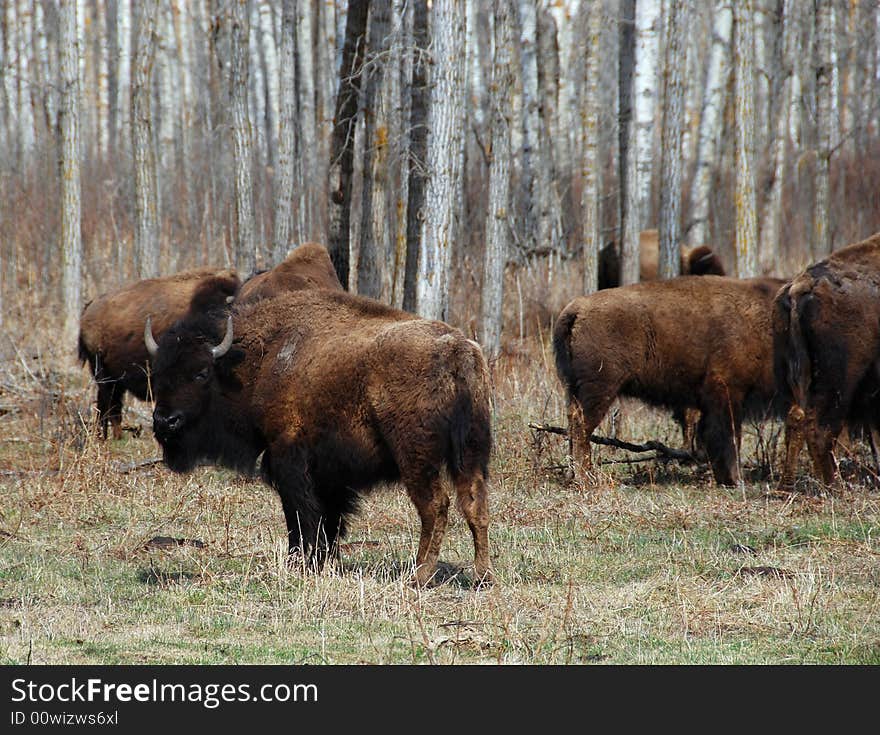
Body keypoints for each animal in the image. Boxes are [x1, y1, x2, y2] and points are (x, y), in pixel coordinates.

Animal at [143, 288, 496, 588]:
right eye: (157, 374)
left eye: (201, 373)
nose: (165, 421)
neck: (261, 357)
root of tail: (457, 351)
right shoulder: (330, 474)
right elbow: (329, 518)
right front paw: (324, 562)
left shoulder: (289, 459)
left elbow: (301, 515)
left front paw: (301, 563)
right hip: (471, 452)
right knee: (474, 504)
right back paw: (482, 576)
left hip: (416, 457)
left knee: (435, 506)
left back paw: (419, 575)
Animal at [552, 274, 788, 486]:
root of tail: (578, 308)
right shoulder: (728, 393)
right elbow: (730, 438)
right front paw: (735, 480)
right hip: (601, 388)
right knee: (581, 425)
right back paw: (585, 478)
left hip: (574, 388)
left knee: (573, 421)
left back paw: (573, 475)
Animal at [772, 233, 880, 492]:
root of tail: (799, 286)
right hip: (840, 380)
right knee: (819, 429)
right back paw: (836, 488)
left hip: (793, 377)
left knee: (796, 419)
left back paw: (787, 486)